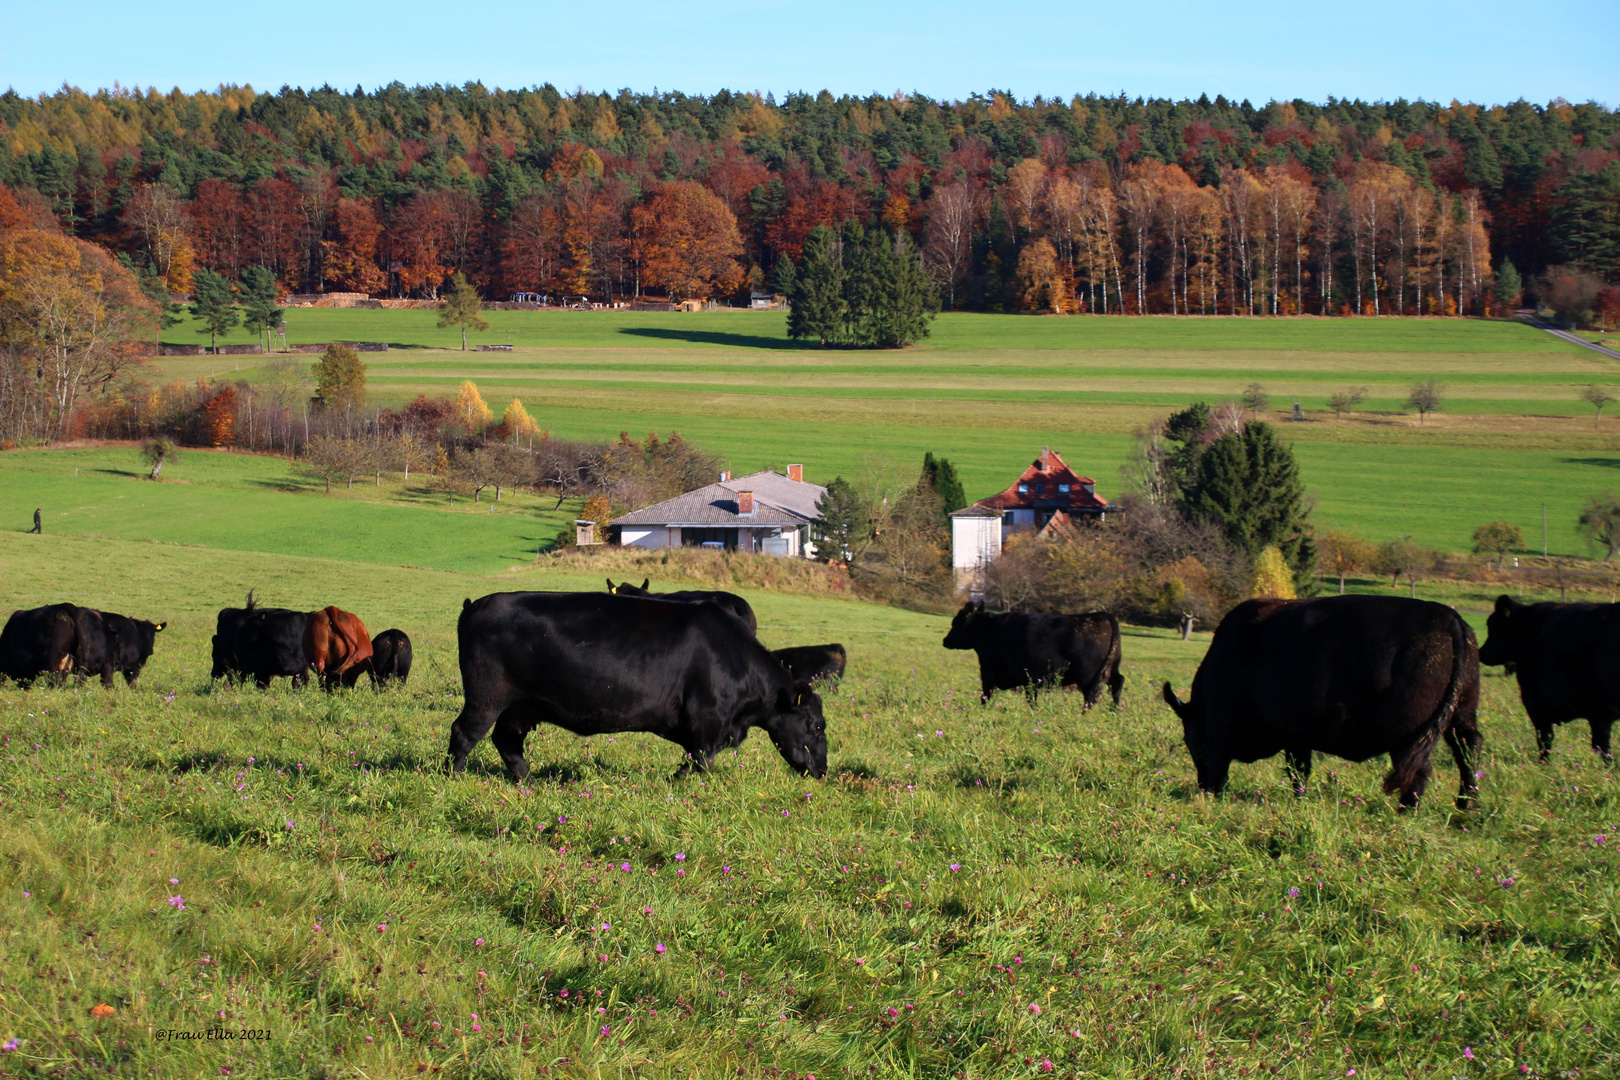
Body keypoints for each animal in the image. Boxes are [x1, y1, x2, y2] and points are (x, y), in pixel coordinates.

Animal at [447, 592, 829, 777]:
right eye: (816, 725)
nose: (823, 770)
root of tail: (476, 605)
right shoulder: (708, 721)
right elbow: (700, 763)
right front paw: (677, 785)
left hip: (520, 706)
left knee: (507, 741)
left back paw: (528, 782)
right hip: (486, 697)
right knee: (464, 733)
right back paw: (455, 777)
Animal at [946, 599, 1121, 709]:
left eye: (956, 623)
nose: (945, 640)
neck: (989, 628)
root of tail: (1102, 615)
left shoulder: (988, 670)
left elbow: (985, 694)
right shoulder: (1029, 679)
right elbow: (1031, 699)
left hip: (1087, 675)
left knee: (1091, 695)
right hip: (1112, 668)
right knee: (1118, 683)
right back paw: (1114, 709)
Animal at [1166, 595, 1483, 806]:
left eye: (1192, 740)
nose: (1201, 786)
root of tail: (1448, 617)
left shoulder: (1223, 727)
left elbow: (1225, 763)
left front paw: (1214, 794)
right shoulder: (1296, 736)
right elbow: (1299, 770)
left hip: (1410, 733)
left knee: (1419, 768)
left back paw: (1408, 809)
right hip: (1460, 715)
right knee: (1468, 748)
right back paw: (1466, 802)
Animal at [1483, 595, 1620, 764]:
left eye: (1493, 626)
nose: (1481, 652)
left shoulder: (1534, 701)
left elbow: (1545, 738)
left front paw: (1544, 762)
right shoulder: (1600, 714)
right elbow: (1602, 746)